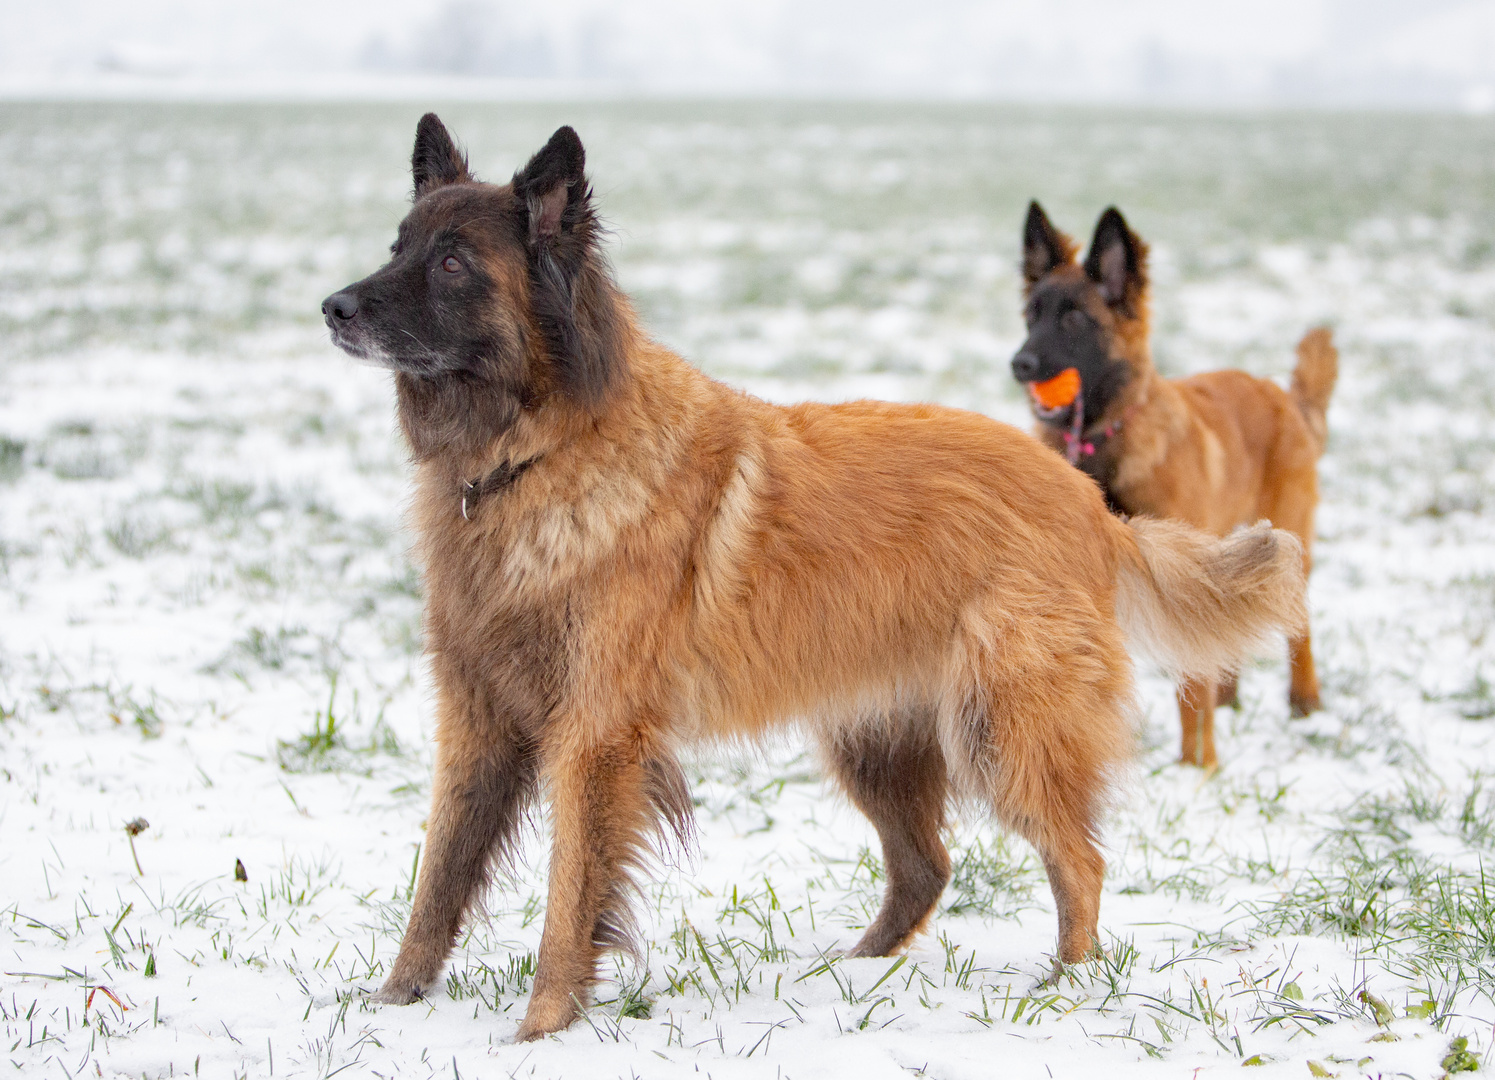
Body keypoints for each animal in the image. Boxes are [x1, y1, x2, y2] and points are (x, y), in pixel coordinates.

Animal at [1010, 201, 1339, 771]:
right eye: (1032, 315)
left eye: (1074, 319)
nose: (1019, 364)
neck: (1104, 442)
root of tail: (1283, 395)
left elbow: (1189, 688)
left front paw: (1196, 768)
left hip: (1289, 543)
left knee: (1297, 629)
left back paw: (1304, 700)